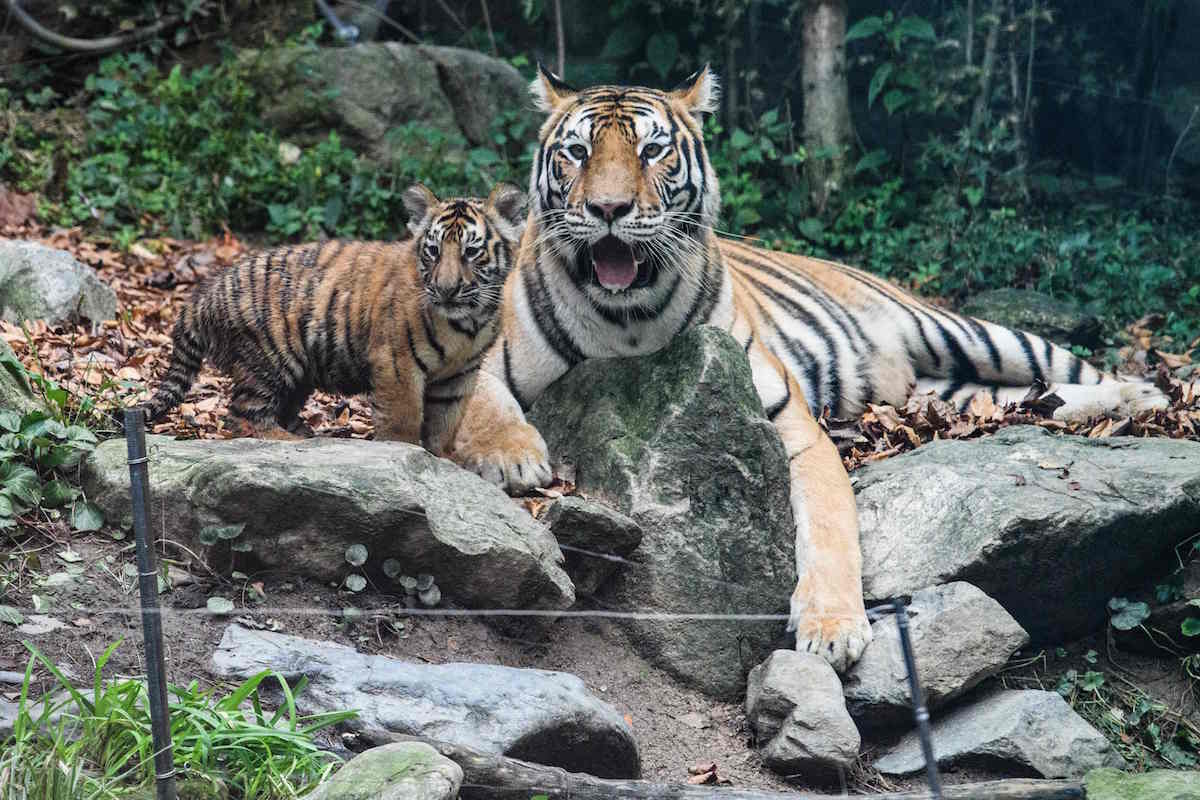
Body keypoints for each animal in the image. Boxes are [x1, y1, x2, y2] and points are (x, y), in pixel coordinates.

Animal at [143, 182, 528, 454]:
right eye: (432, 250)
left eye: (471, 252)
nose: (446, 290)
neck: (467, 323)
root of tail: (204, 293)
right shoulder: (397, 366)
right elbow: (402, 425)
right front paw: (406, 455)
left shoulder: (459, 376)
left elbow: (444, 427)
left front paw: (442, 461)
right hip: (268, 358)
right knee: (242, 416)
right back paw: (291, 441)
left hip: (297, 374)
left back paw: (303, 431)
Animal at [446, 65, 1170, 672]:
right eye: (577, 152)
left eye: (652, 152)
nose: (608, 210)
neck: (629, 319)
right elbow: (481, 398)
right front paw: (515, 457)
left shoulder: (792, 423)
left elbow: (827, 525)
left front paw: (831, 628)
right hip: (949, 389)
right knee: (1027, 396)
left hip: (962, 332)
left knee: (1072, 368)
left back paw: (1143, 397)